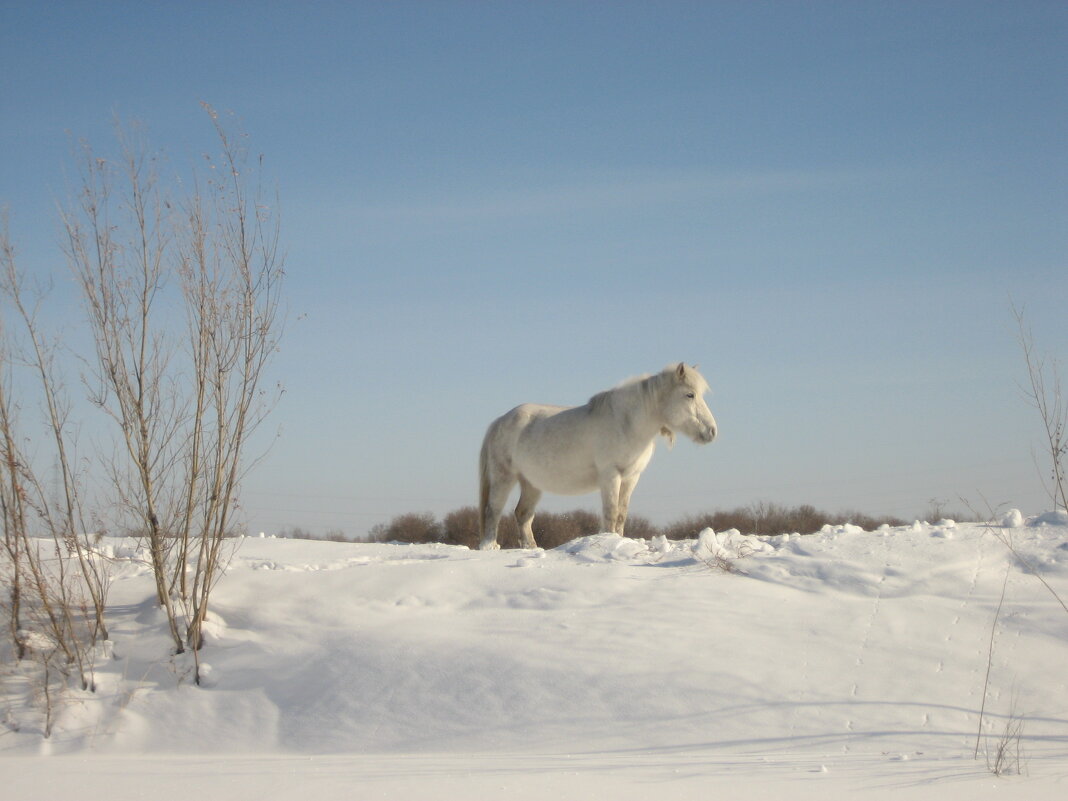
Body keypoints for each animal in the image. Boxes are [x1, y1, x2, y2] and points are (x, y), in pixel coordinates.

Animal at [478, 365, 717, 551]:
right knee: (493, 511)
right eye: (690, 394)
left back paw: (531, 548)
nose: (712, 431)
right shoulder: (610, 475)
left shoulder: (631, 477)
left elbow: (621, 514)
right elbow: (610, 512)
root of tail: (500, 420)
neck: (626, 423)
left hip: (531, 483)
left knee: (523, 514)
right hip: (504, 477)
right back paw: (489, 546)